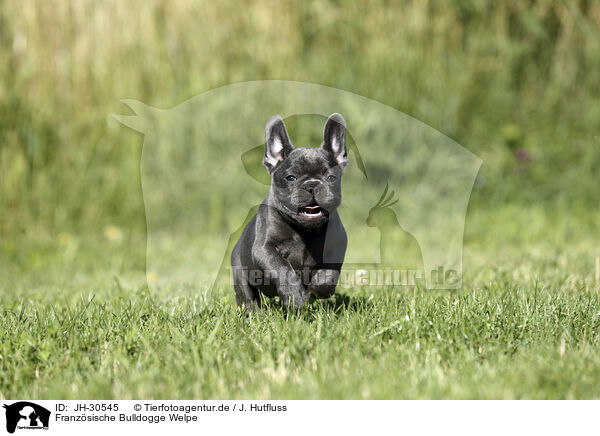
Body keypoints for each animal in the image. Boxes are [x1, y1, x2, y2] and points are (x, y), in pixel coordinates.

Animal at [232, 112, 350, 310]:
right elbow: (281, 268)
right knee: (248, 297)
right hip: (240, 273)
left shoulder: (337, 245)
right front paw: (295, 296)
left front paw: (317, 287)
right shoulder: (264, 249)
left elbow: (329, 273)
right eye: (291, 178)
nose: (312, 184)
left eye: (331, 177)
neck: (305, 230)